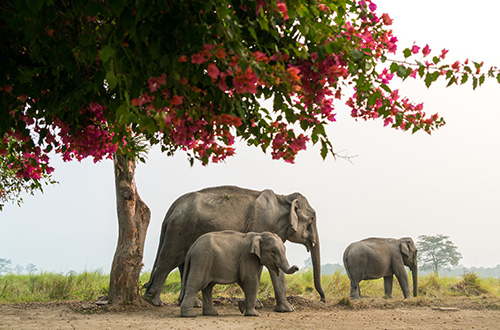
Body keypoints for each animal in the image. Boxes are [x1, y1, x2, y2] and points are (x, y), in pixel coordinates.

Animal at [143, 186, 326, 312]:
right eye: (312, 219)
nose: (323, 300)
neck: (284, 198)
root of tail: (172, 208)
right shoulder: (262, 225)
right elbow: (269, 268)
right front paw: (278, 308)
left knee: (183, 264)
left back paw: (193, 304)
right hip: (180, 229)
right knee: (168, 261)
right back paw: (154, 301)